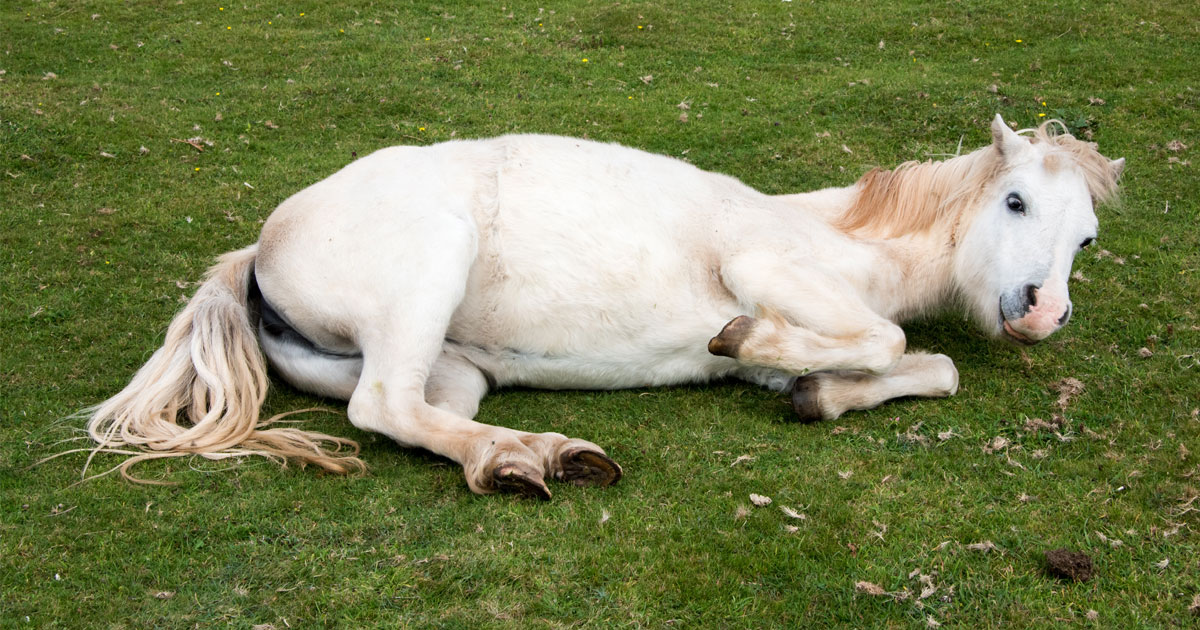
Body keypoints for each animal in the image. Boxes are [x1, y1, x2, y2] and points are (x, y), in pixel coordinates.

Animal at [83, 115, 1123, 498]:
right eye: (1016, 202)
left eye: (1085, 239)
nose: (1040, 313)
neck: (843, 236)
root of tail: (262, 249)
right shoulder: (767, 267)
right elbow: (882, 335)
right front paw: (752, 339)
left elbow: (924, 364)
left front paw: (815, 391)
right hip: (429, 266)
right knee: (382, 406)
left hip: (444, 366)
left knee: (417, 412)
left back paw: (530, 456)